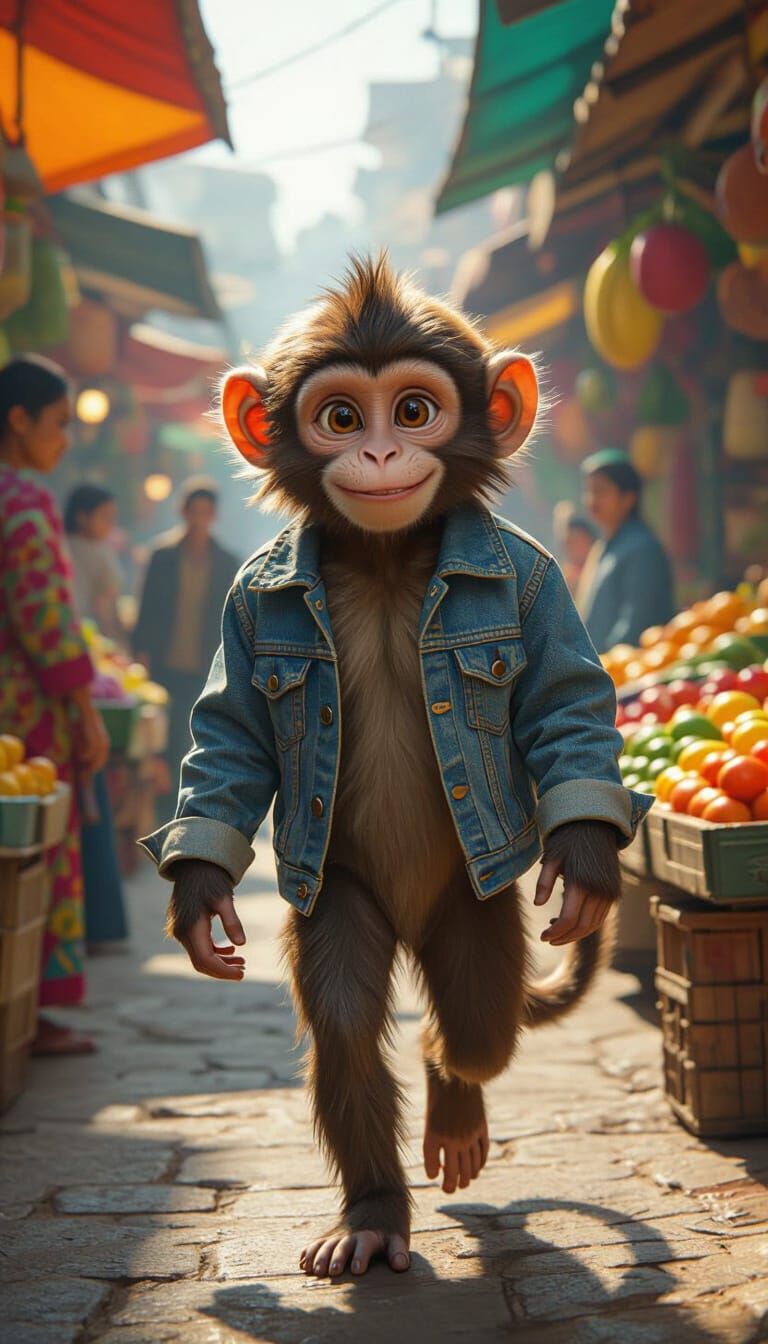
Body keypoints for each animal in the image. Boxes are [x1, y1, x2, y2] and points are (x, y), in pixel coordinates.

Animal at [141, 256, 651, 1281]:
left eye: (413, 411)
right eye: (342, 418)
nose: (378, 456)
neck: (381, 561)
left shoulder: (532, 577)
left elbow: (566, 701)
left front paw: (583, 862)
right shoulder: (248, 608)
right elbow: (230, 739)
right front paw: (200, 897)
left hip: (475, 913)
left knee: (479, 1027)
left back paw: (453, 1097)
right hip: (344, 892)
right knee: (350, 1017)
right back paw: (375, 1216)